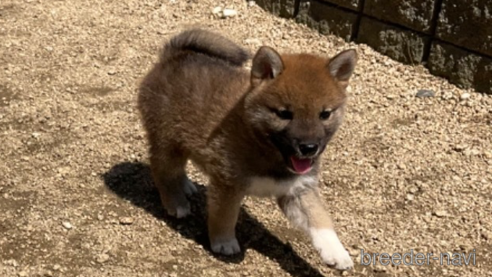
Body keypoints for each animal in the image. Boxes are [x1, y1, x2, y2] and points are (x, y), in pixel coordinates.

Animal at [138, 28, 358, 270]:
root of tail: (173, 56)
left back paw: (186, 185)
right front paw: (224, 242)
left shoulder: (299, 190)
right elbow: (224, 216)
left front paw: (336, 251)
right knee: (162, 171)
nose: (309, 148)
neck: (265, 149)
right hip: (168, 144)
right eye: (284, 114)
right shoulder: (228, 185)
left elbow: (320, 220)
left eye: (325, 114)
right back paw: (175, 202)